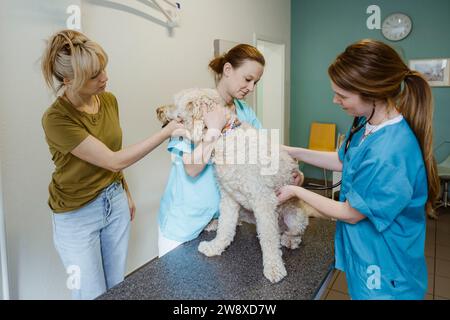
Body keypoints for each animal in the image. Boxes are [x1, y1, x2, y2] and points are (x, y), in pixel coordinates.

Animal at [156, 88, 318, 282]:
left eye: (175, 103)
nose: (158, 110)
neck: (224, 137)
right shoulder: (229, 198)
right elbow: (226, 227)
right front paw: (215, 247)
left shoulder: (263, 201)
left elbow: (269, 240)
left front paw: (273, 268)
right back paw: (215, 224)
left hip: (295, 217)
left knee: (291, 233)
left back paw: (289, 240)